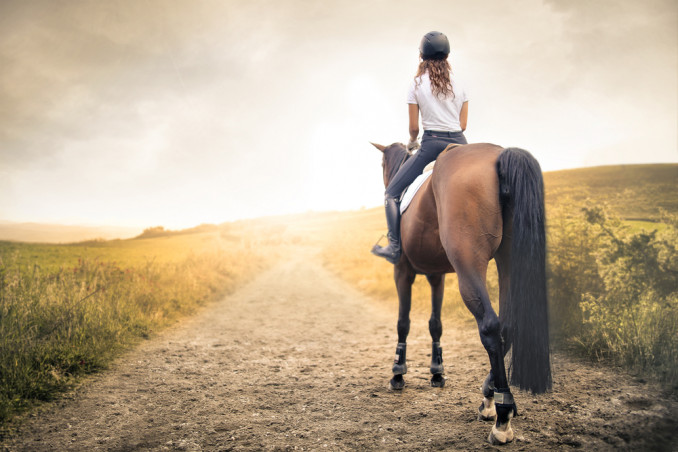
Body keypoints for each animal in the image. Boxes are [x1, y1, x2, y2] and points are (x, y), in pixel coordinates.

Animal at [370, 142, 551, 445]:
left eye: (383, 165)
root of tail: (498, 155)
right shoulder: (437, 275)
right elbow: (435, 324)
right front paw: (437, 372)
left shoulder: (403, 272)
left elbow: (403, 322)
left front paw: (398, 373)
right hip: (508, 257)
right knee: (509, 326)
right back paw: (490, 397)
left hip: (469, 263)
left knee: (490, 326)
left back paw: (501, 416)